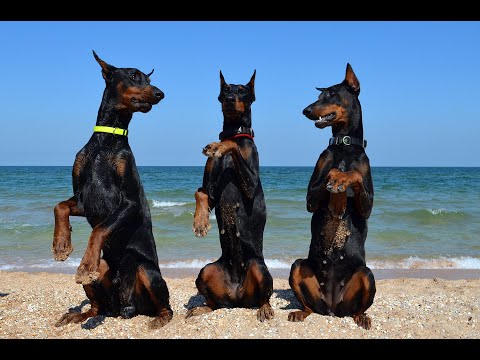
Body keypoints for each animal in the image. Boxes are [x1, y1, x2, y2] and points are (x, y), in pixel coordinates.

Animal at [52, 50, 172, 330]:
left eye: (148, 79)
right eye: (134, 76)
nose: (160, 93)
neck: (107, 139)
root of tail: (125, 308)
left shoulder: (129, 202)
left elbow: (99, 229)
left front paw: (85, 264)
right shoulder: (83, 199)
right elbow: (60, 206)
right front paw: (61, 243)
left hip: (145, 269)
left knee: (166, 306)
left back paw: (160, 319)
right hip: (104, 276)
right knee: (97, 307)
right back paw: (77, 315)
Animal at [186, 70, 274, 320]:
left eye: (242, 91)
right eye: (225, 90)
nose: (229, 99)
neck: (234, 132)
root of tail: (238, 296)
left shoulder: (251, 183)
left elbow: (230, 145)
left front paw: (218, 145)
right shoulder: (211, 187)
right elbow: (200, 193)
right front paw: (200, 222)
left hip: (258, 267)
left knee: (264, 295)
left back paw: (265, 308)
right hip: (206, 271)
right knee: (215, 303)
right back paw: (201, 308)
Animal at [286, 62, 376, 330]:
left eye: (332, 94)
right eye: (318, 96)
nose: (306, 110)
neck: (344, 145)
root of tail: (332, 306)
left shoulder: (368, 203)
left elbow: (353, 175)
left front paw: (342, 181)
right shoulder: (311, 197)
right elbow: (330, 173)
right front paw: (336, 181)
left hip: (366, 275)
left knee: (358, 307)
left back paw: (361, 317)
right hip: (299, 268)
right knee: (308, 305)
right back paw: (300, 312)